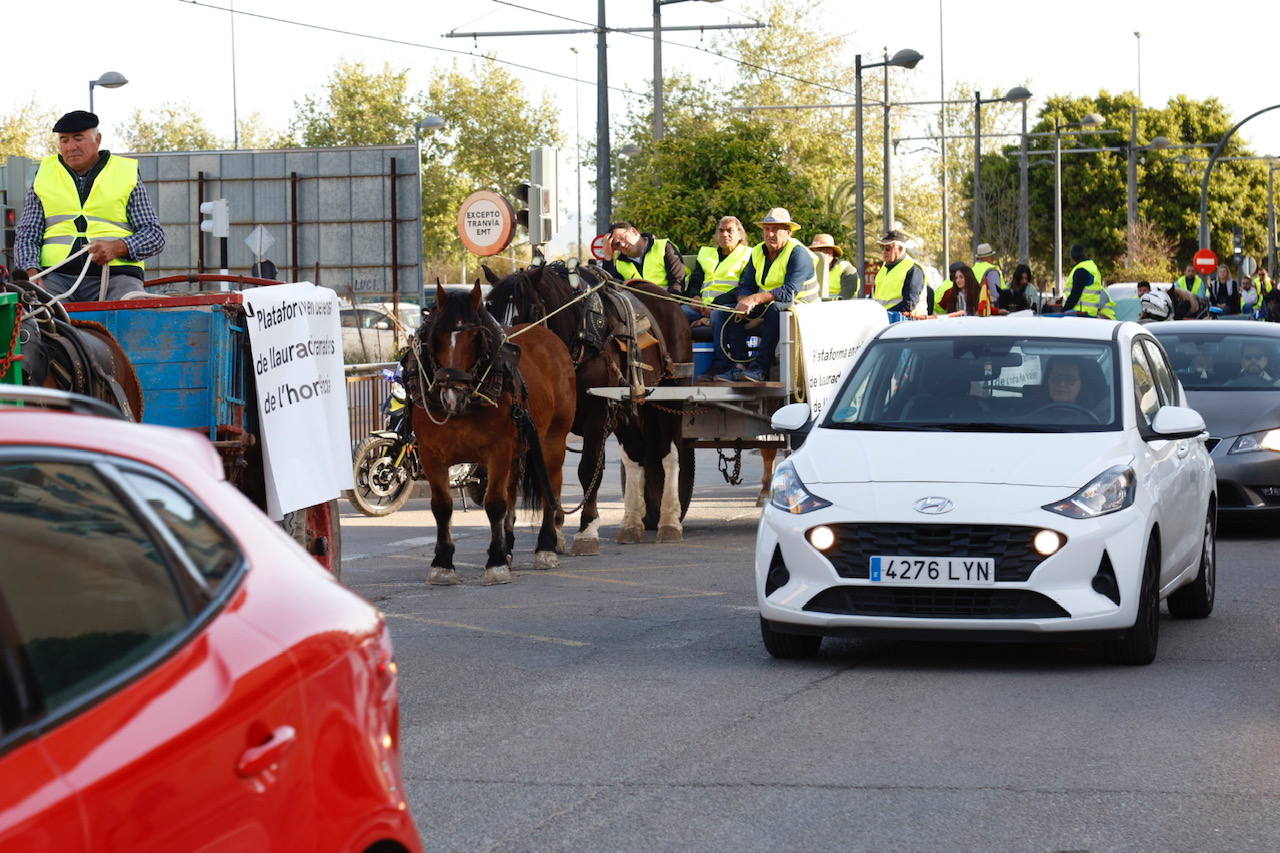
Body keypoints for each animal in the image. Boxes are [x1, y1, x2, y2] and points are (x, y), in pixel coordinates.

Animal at [409, 281, 576, 581]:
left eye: (476, 336)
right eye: (436, 335)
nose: (451, 393)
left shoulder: (498, 450)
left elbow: (495, 503)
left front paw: (496, 562)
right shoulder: (430, 454)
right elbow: (442, 506)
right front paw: (442, 562)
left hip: (552, 441)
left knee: (551, 489)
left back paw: (546, 546)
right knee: (512, 491)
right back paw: (508, 545)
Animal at [483, 261, 696, 550]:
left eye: (533, 311)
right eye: (490, 309)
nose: (506, 363)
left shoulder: (597, 416)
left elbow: (588, 468)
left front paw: (586, 530)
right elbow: (552, 473)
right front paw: (556, 533)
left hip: (669, 398)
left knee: (669, 455)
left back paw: (670, 520)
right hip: (629, 409)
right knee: (636, 456)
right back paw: (631, 523)